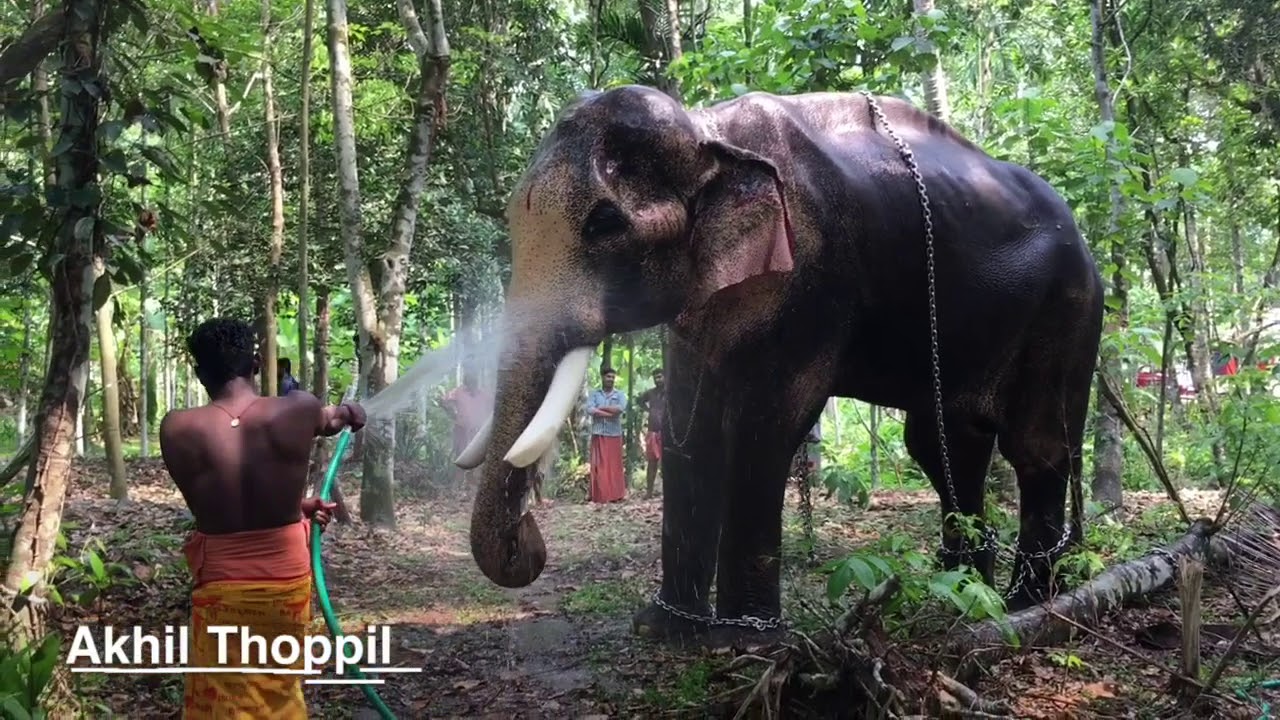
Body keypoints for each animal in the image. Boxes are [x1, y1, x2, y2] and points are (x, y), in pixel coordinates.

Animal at [454, 85, 1105, 645]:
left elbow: (765, 428)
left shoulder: (816, 276)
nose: (530, 535)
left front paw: (741, 643)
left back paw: (1027, 606)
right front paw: (663, 628)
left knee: (1036, 448)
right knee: (943, 444)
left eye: (604, 223)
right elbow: (691, 429)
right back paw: (963, 599)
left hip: (1068, 311)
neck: (710, 132)